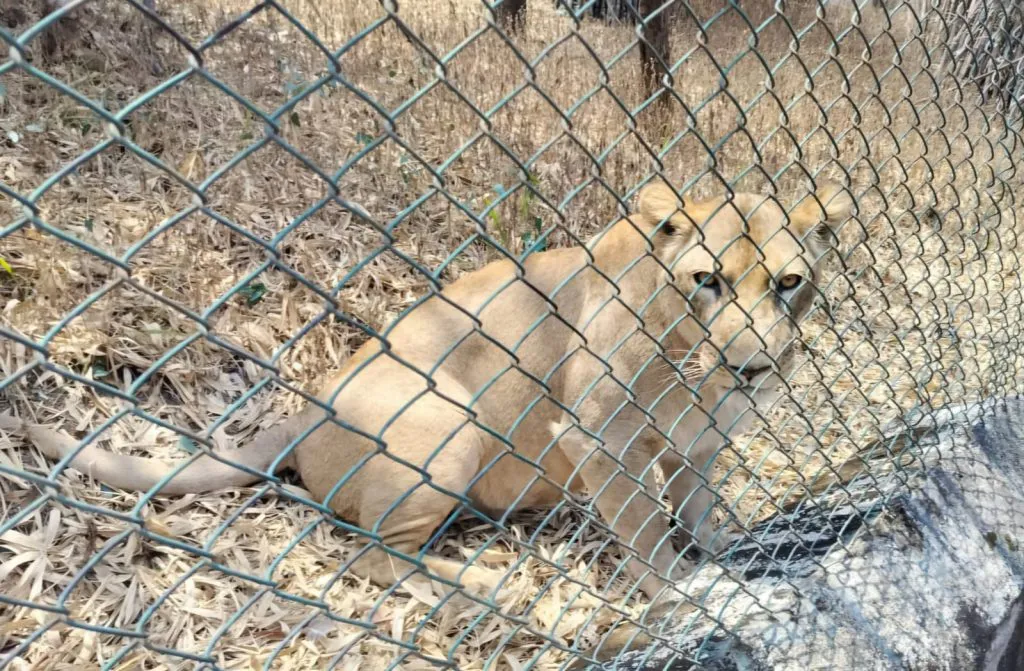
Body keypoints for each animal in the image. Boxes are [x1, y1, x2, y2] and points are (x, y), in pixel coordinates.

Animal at [25, 180, 852, 604]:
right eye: (706, 278)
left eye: (788, 282)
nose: (750, 367)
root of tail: (303, 408)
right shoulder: (596, 436)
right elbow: (645, 529)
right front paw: (684, 586)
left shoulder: (698, 446)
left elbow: (698, 507)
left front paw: (722, 549)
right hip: (444, 423)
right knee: (372, 558)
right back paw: (486, 583)